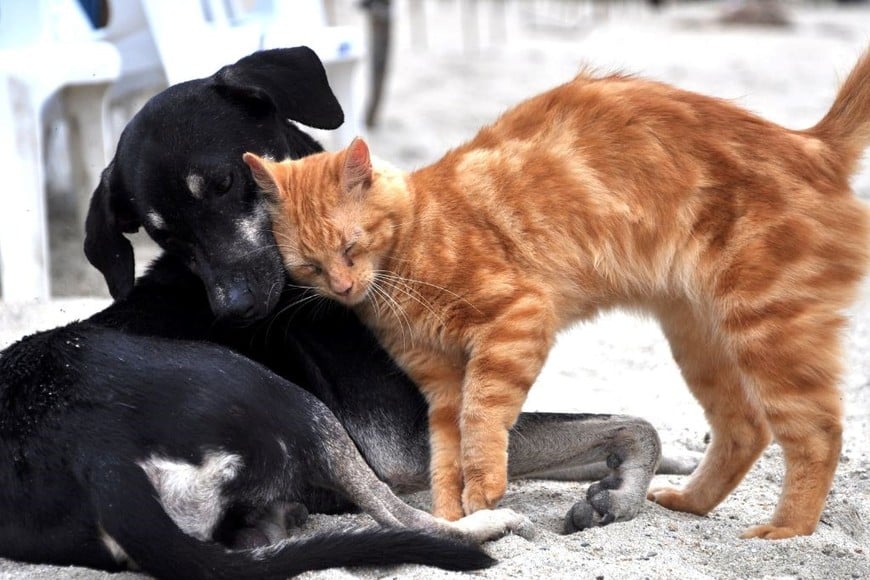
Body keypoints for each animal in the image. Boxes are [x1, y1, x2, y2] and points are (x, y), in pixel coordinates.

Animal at [0, 47, 680, 576]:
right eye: (161, 235)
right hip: (289, 399)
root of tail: (95, 459)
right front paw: (623, 495)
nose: (236, 310)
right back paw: (487, 526)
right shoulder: (409, 439)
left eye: (225, 184)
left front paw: (650, 474)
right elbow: (633, 422)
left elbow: (619, 425)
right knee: (405, 517)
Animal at [244, 49, 870, 540]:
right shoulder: (438, 386)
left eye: (350, 247)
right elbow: (446, 456)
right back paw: (690, 501)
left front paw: (484, 491)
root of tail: (810, 144)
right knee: (746, 428)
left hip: (766, 328)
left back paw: (786, 531)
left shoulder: (515, 321)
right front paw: (457, 513)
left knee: (817, 433)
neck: (414, 244)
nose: (343, 286)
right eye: (310, 266)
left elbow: (483, 419)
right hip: (701, 338)